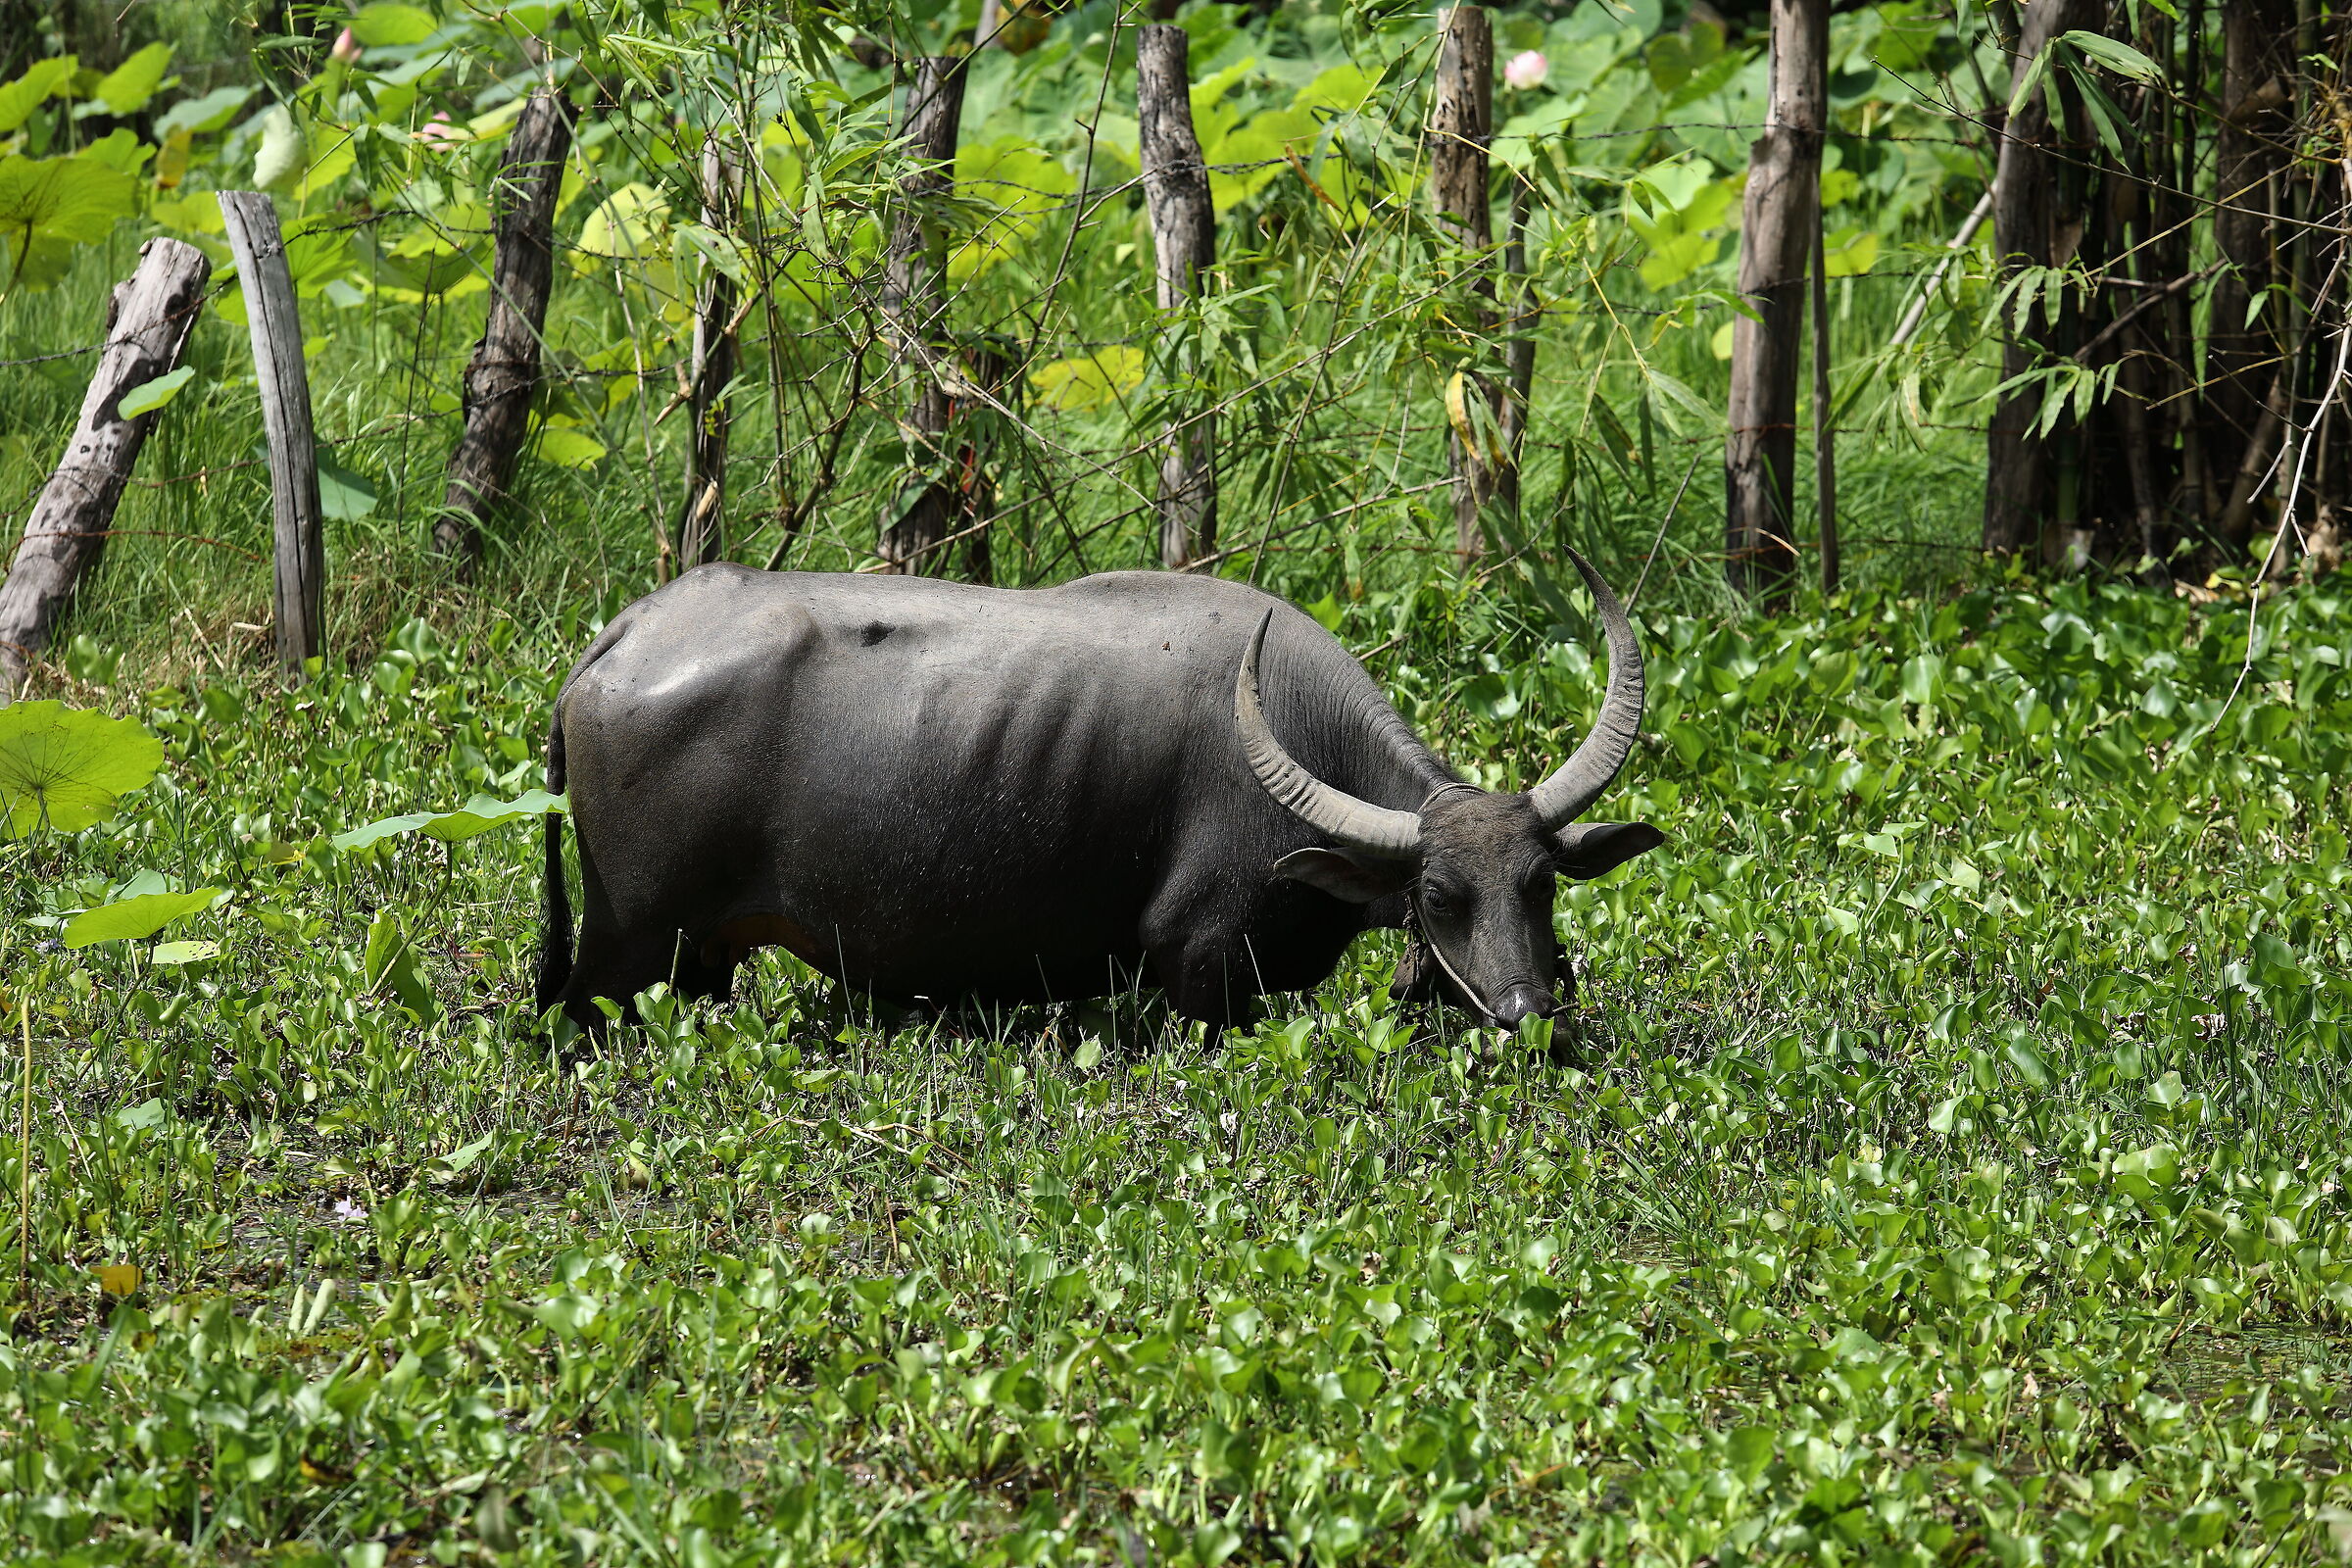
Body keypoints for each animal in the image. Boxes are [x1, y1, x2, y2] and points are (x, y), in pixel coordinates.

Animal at [537, 553, 1659, 1034]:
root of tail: (625, 635)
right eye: (1438, 899)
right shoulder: (1202, 972)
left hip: (700, 964)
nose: (1533, 1015)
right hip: (624, 954)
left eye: (1542, 885)